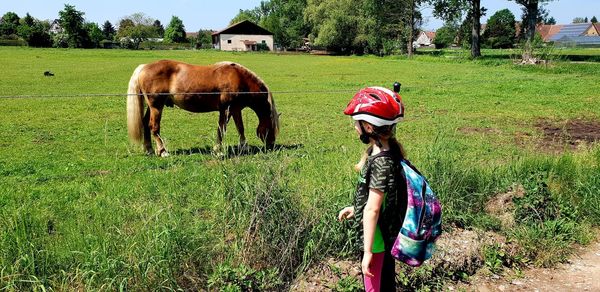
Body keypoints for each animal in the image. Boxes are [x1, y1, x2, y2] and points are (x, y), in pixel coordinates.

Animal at [126, 60, 278, 157]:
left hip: (152, 107)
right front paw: (218, 150)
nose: (271, 145)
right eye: (271, 127)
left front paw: (244, 146)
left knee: (145, 123)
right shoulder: (226, 110)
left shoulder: (235, 110)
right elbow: (221, 129)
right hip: (157, 106)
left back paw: (149, 149)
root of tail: (144, 67)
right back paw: (163, 151)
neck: (239, 78)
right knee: (154, 127)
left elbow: (240, 128)